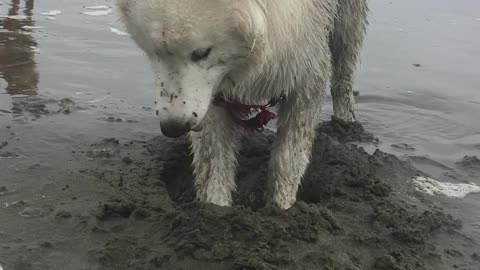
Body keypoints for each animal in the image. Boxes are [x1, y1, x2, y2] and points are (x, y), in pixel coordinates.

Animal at [117, 0, 368, 209]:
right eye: (153, 53)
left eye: (201, 53)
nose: (172, 127)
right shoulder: (212, 96)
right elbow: (214, 162)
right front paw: (214, 210)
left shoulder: (305, 74)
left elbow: (288, 157)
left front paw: (282, 208)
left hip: (348, 22)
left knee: (344, 71)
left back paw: (345, 122)